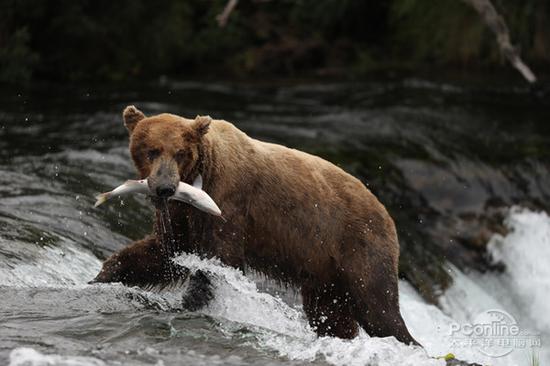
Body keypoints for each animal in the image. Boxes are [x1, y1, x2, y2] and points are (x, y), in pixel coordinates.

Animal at [92, 106, 418, 346]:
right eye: (151, 150)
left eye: (181, 152)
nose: (164, 188)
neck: (200, 174)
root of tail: (386, 211)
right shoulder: (179, 216)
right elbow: (161, 254)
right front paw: (100, 278)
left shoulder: (229, 201)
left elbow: (219, 261)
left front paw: (190, 302)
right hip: (323, 271)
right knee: (330, 313)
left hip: (356, 244)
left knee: (378, 307)